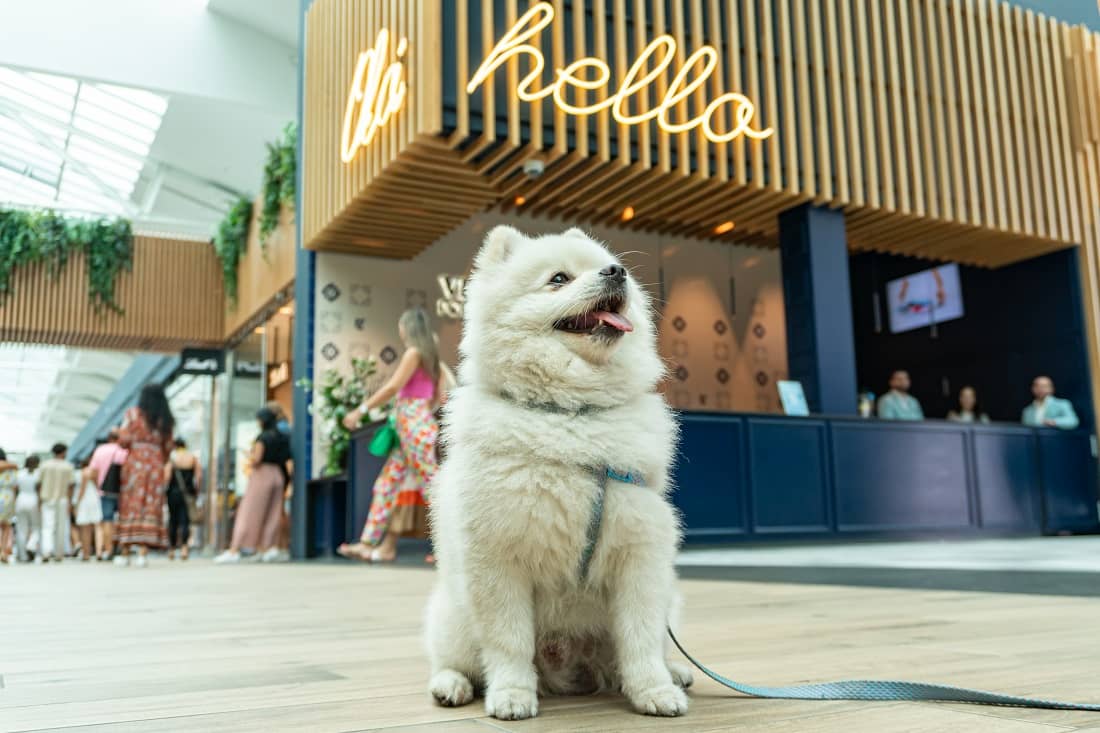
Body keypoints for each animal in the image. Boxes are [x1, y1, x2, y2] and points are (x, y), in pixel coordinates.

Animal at [424, 225, 690, 717]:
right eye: (559, 279)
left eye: (606, 266)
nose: (617, 272)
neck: (572, 414)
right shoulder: (499, 557)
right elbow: (508, 640)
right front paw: (512, 694)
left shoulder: (640, 552)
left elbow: (641, 637)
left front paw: (655, 691)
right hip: (454, 615)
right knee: (453, 658)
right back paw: (451, 685)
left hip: (670, 599)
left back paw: (677, 672)